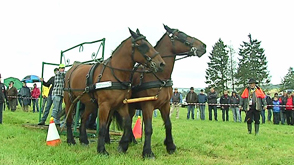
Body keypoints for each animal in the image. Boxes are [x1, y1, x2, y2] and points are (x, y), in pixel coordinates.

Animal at [63, 27, 165, 155]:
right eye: (142, 44)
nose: (161, 63)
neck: (115, 74)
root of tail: (72, 68)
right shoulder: (104, 105)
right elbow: (102, 127)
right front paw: (102, 150)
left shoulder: (121, 104)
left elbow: (127, 123)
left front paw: (123, 146)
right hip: (70, 100)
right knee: (69, 119)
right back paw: (71, 140)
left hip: (90, 103)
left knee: (83, 118)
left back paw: (84, 140)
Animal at [116, 24, 206, 157]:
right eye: (182, 35)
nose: (203, 46)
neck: (159, 76)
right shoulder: (147, 105)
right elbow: (148, 128)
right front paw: (148, 152)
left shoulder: (165, 105)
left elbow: (168, 124)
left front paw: (170, 146)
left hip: (131, 107)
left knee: (129, 120)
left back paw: (131, 141)